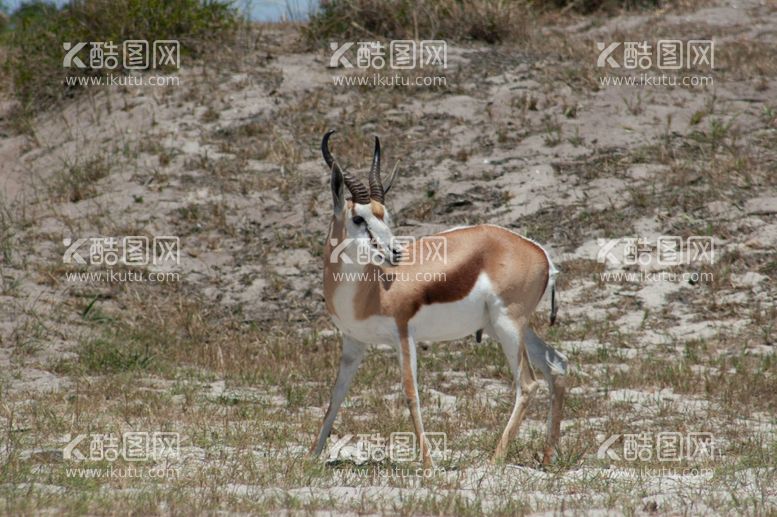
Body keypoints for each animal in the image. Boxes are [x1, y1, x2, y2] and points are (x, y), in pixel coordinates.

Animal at [310, 130, 568, 468]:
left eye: (385, 216)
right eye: (358, 218)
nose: (396, 253)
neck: (372, 290)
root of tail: (539, 252)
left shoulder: (403, 335)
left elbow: (411, 394)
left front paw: (429, 465)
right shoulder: (354, 342)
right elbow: (336, 393)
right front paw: (311, 455)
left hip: (508, 326)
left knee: (527, 383)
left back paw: (495, 458)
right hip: (510, 327)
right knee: (557, 365)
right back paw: (548, 457)